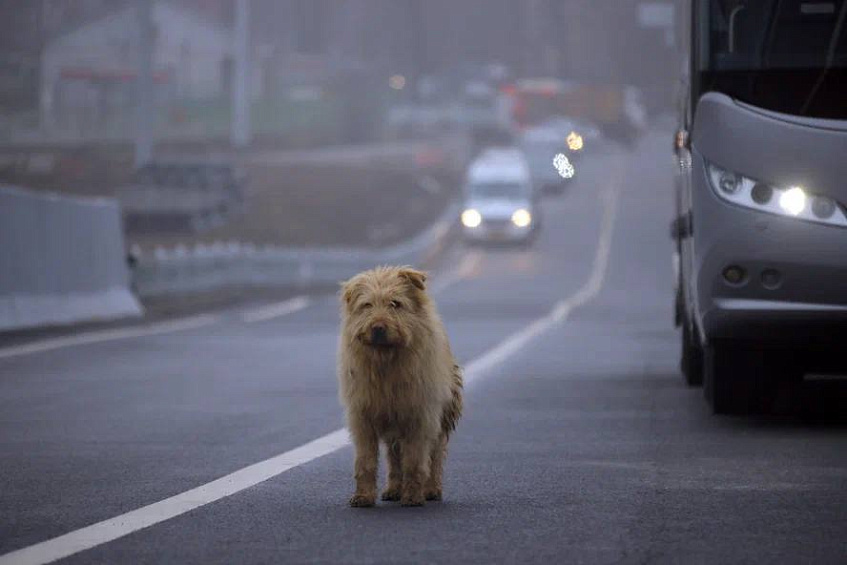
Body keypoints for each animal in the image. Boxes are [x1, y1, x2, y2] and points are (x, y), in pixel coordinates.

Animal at [338, 264, 464, 506]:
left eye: (395, 303)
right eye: (367, 305)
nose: (378, 327)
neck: (386, 360)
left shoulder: (420, 416)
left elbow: (415, 461)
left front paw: (413, 496)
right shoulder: (363, 416)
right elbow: (365, 461)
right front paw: (363, 496)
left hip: (440, 415)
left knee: (435, 455)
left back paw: (431, 489)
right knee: (394, 456)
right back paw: (394, 489)